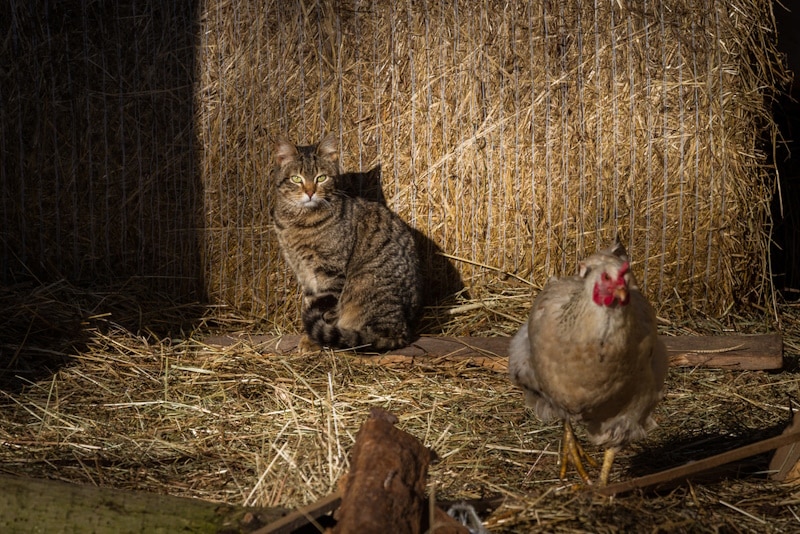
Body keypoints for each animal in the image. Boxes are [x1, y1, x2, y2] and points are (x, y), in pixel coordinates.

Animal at [270, 134, 422, 352]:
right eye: (296, 179)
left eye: (321, 178)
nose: (310, 192)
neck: (299, 221)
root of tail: (403, 333)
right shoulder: (303, 272)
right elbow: (311, 302)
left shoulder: (330, 272)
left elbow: (327, 311)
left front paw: (313, 341)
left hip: (365, 282)